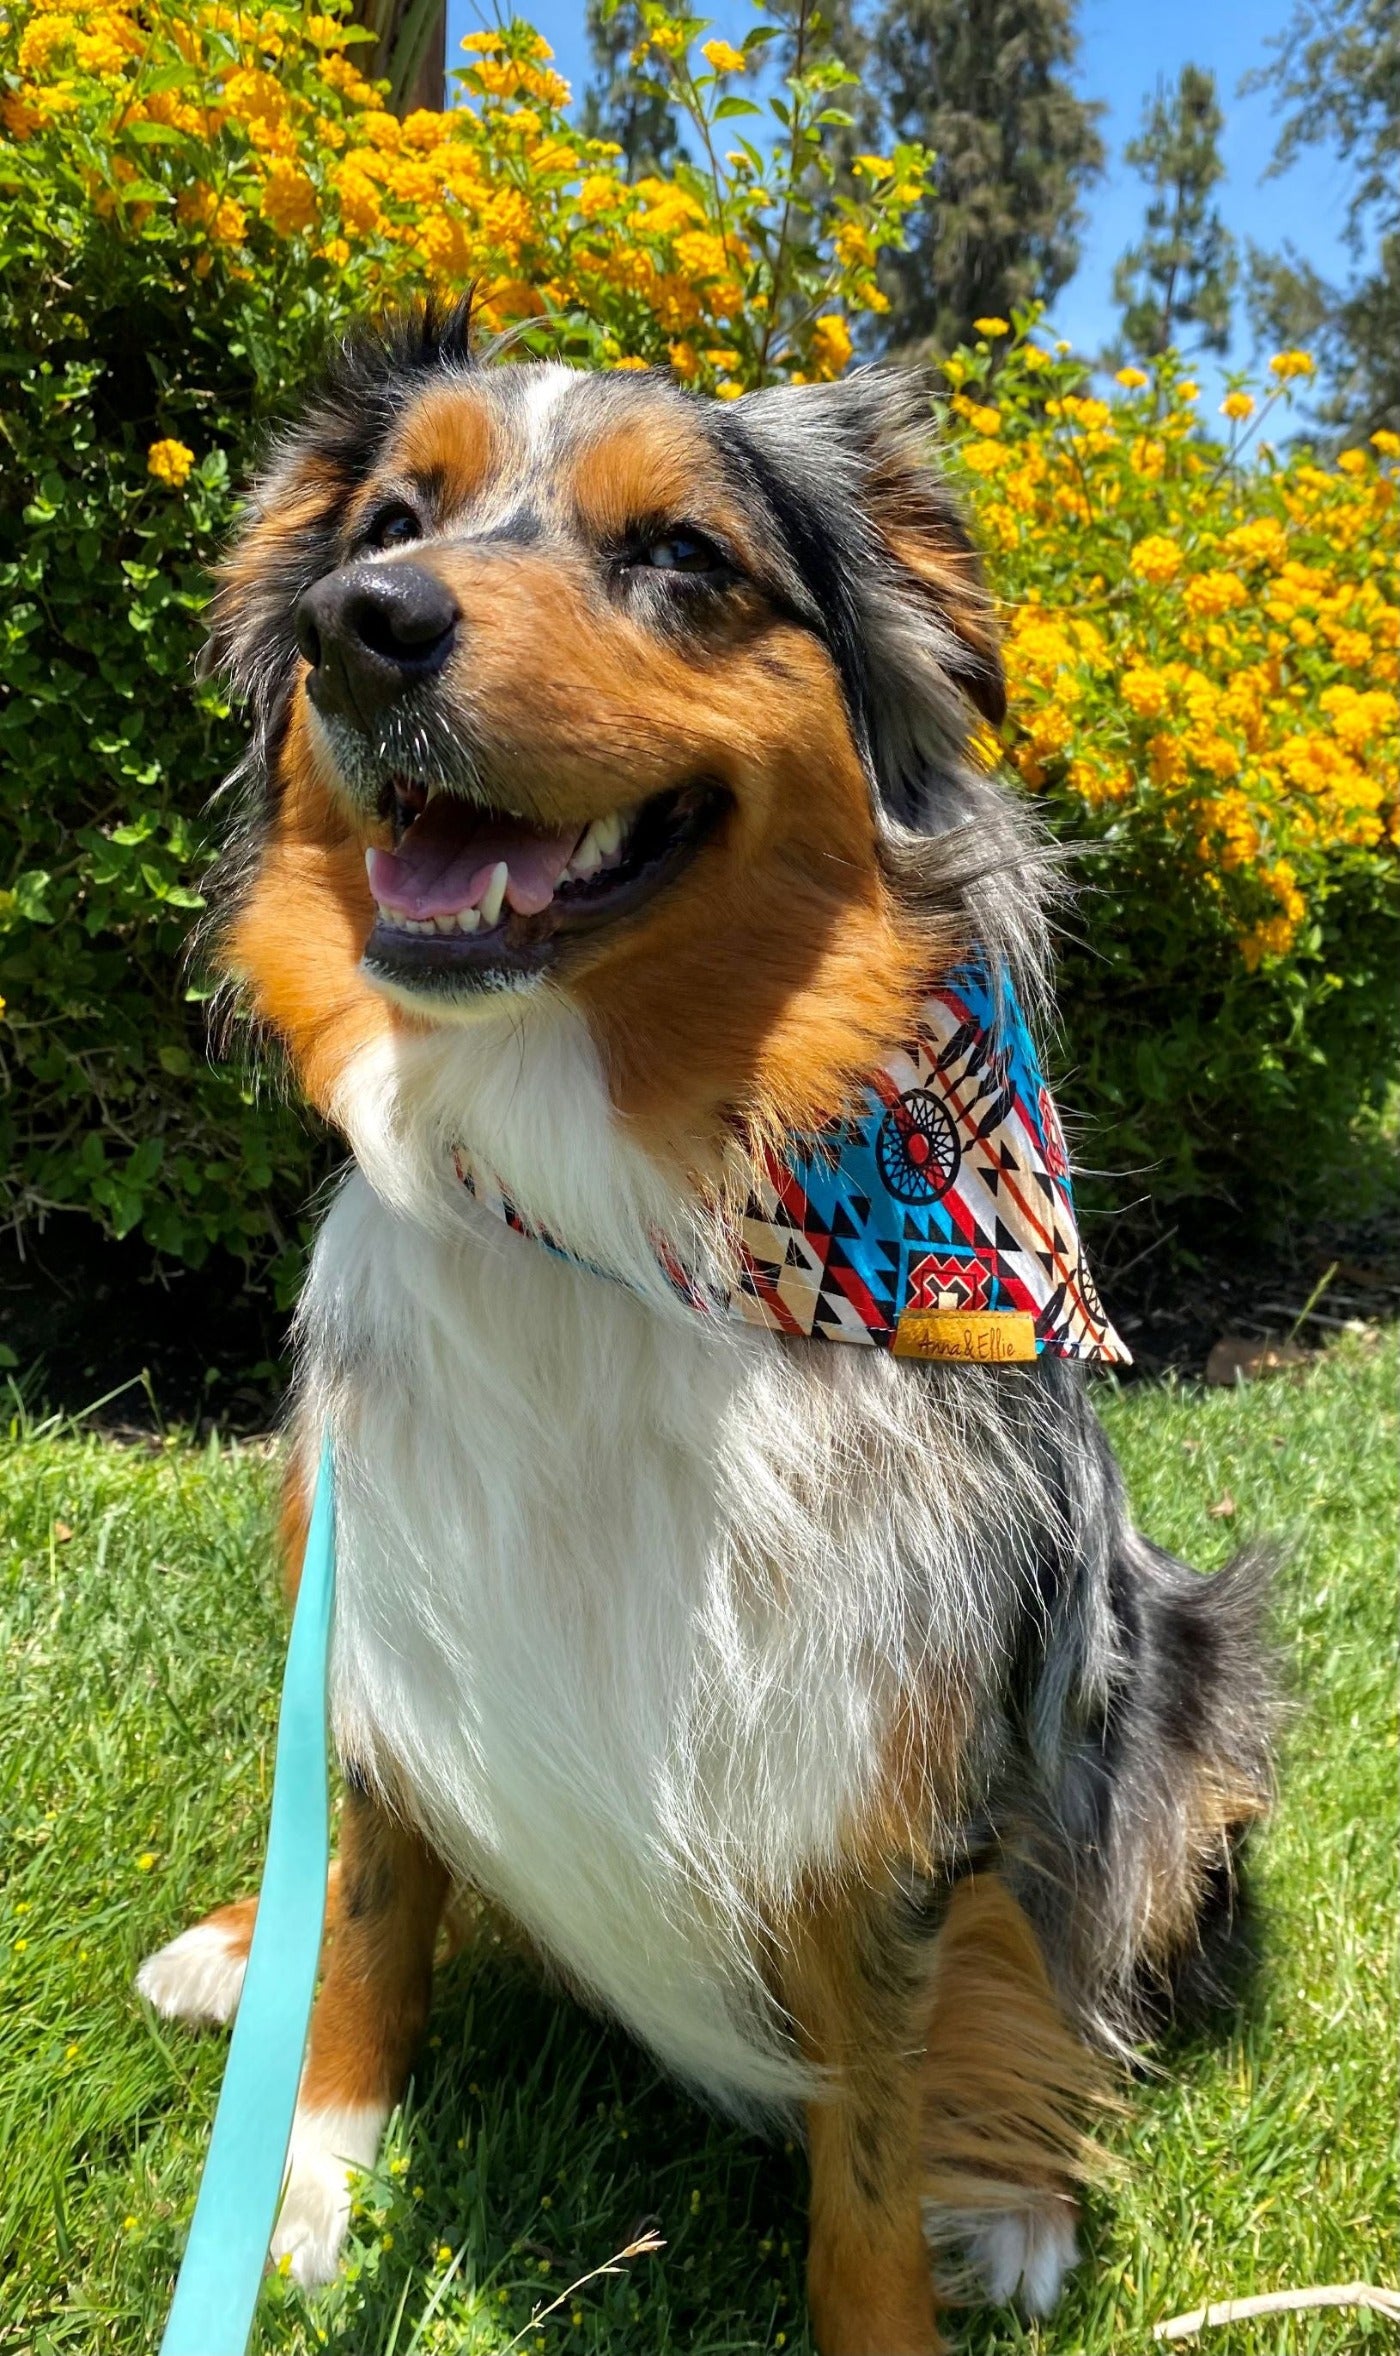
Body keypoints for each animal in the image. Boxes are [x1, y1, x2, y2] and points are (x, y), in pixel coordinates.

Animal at [136, 303, 1272, 2346]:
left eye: (681, 554)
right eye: (395, 516)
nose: (358, 619)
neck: (610, 1216)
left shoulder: (888, 1770)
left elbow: (880, 2137)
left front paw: (914, 2269)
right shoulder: (383, 1601)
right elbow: (377, 1910)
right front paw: (311, 2187)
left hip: (1186, 1692)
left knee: (1072, 1951)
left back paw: (1024, 2195)